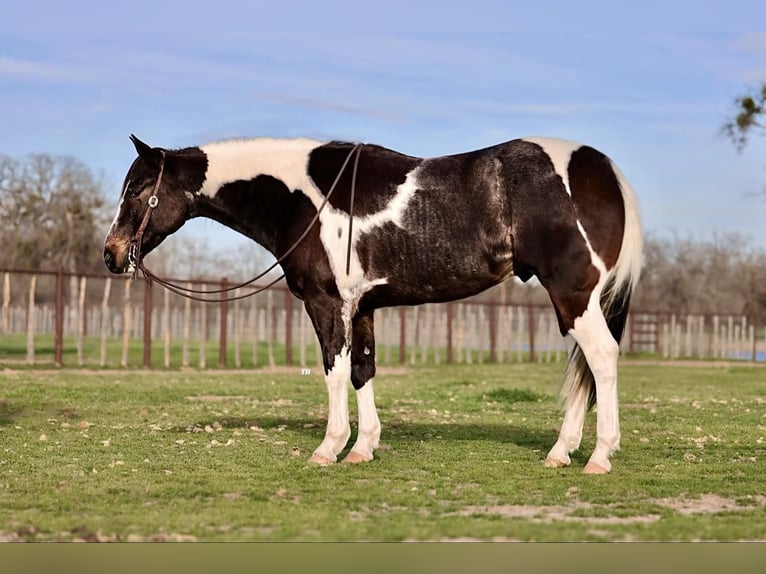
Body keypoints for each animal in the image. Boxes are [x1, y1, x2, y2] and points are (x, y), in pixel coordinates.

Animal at [102, 135, 640, 476]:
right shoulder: (361, 308)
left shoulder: (327, 303)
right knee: (586, 368)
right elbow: (363, 370)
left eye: (138, 190)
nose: (111, 253)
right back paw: (561, 453)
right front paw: (362, 449)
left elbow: (334, 370)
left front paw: (328, 449)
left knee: (602, 359)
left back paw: (598, 457)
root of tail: (602, 168)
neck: (301, 197)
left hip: (573, 295)